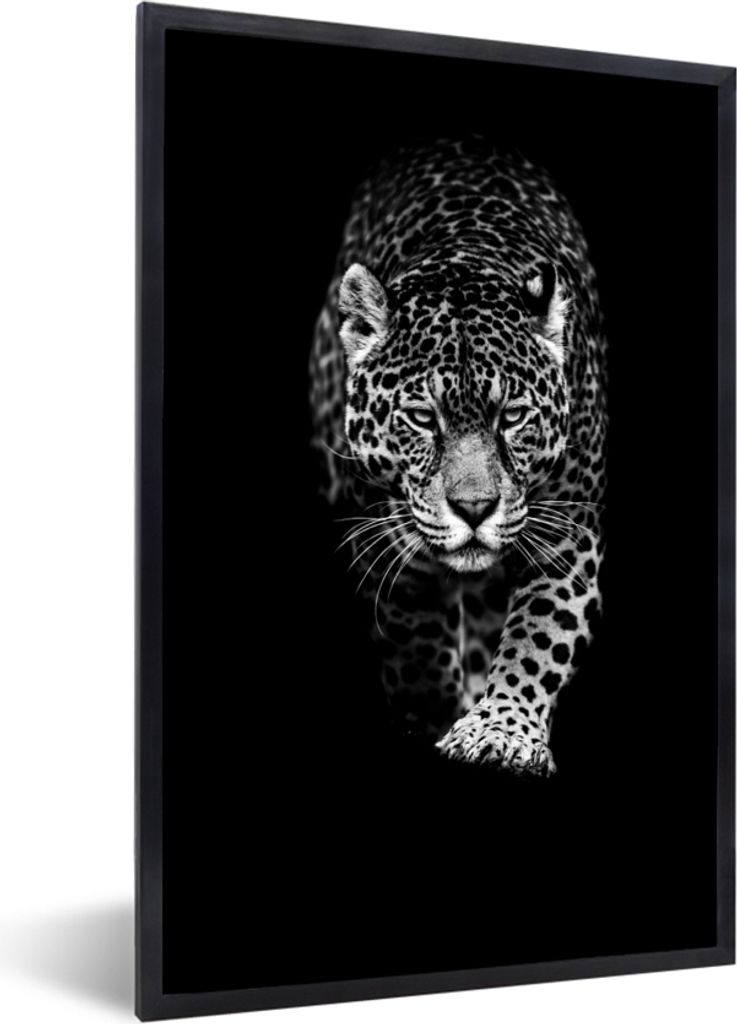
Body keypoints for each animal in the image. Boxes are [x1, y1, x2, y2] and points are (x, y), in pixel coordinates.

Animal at [309, 136, 607, 777]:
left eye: (512, 417)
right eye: (424, 418)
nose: (475, 509)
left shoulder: (568, 534)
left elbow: (539, 636)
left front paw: (501, 732)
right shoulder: (384, 540)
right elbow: (413, 639)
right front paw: (430, 718)